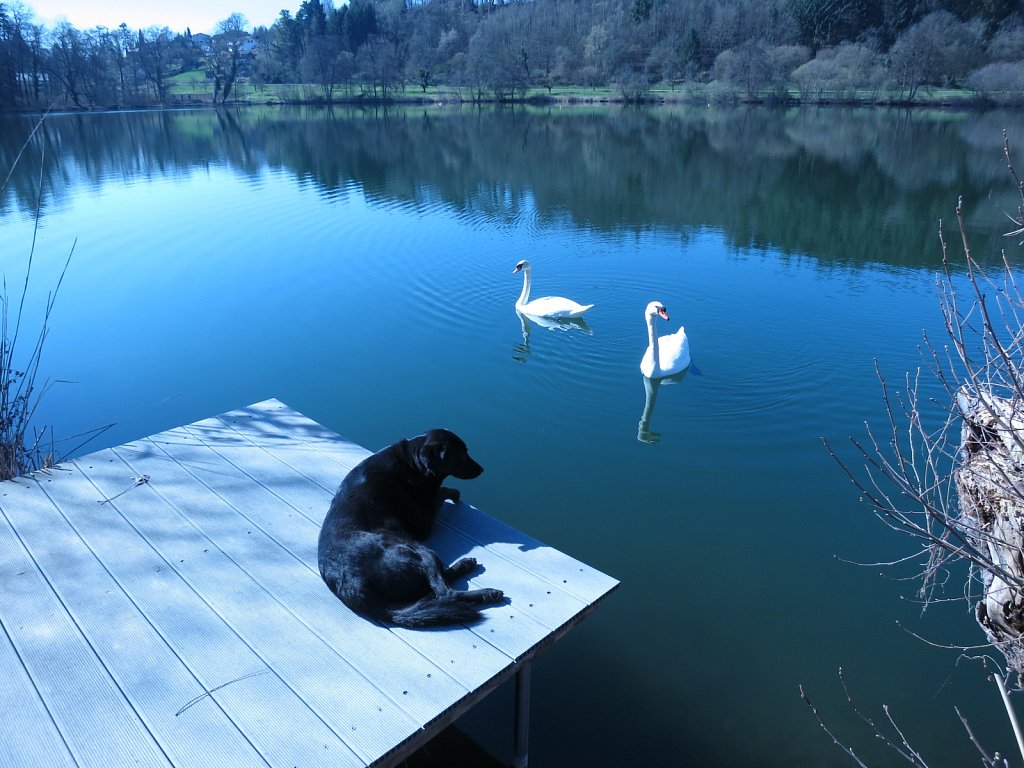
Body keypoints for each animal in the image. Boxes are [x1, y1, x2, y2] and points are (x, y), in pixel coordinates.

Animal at [313, 430, 501, 626]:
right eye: (461, 454)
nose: (481, 469)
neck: (412, 462)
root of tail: (353, 585)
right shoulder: (424, 521)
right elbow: (440, 493)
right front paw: (453, 493)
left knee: (432, 589)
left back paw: (465, 564)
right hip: (422, 551)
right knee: (444, 594)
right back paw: (488, 592)